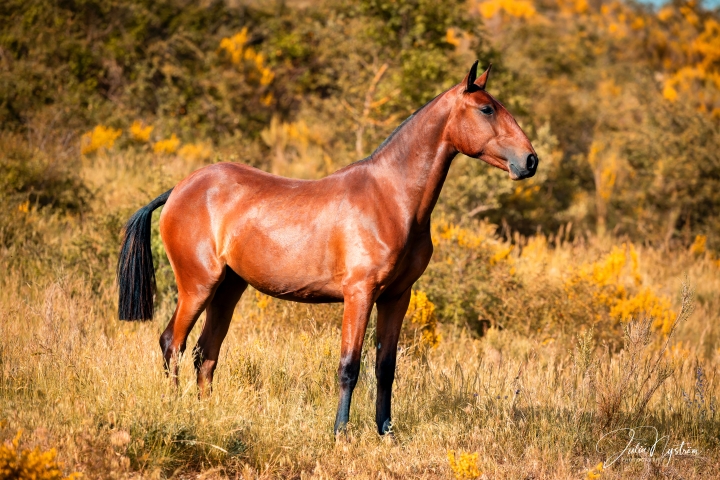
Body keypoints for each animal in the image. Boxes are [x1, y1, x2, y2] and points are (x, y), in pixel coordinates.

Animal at [116, 62, 536, 436]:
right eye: (486, 108)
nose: (530, 160)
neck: (390, 198)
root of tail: (178, 190)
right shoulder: (359, 294)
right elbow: (349, 366)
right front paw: (341, 432)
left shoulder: (397, 296)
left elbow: (386, 368)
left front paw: (386, 432)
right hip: (198, 286)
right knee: (173, 343)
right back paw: (176, 411)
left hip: (228, 288)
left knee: (205, 353)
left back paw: (206, 415)